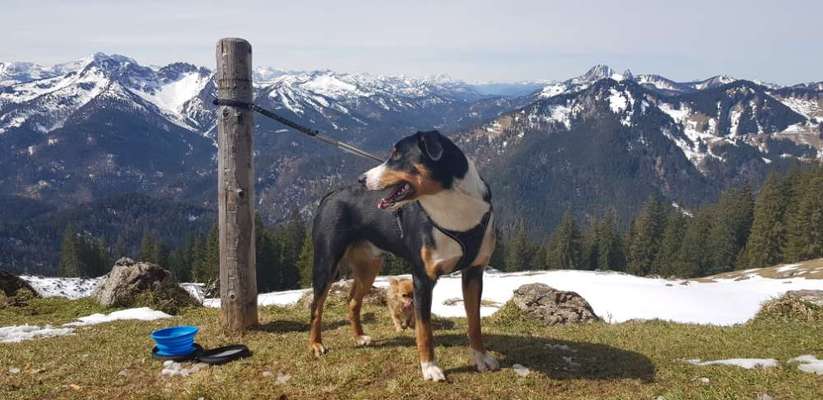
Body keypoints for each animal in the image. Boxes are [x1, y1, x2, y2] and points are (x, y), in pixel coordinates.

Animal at [308, 130, 498, 382]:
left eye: (397, 155)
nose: (361, 179)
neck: (452, 209)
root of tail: (331, 195)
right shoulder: (422, 278)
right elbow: (424, 330)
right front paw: (430, 367)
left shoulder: (474, 273)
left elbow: (474, 322)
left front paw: (480, 357)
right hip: (326, 262)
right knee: (316, 307)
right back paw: (316, 344)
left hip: (368, 267)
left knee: (353, 300)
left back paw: (359, 336)